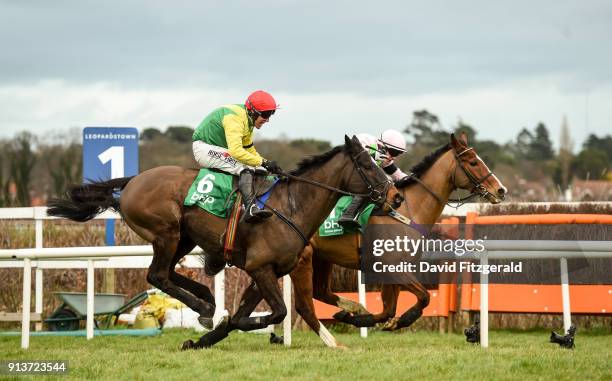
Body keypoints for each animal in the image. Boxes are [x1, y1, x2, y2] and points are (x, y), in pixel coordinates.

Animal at [47, 135, 402, 348]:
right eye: (368, 165)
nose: (396, 197)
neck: (291, 206)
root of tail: (132, 181)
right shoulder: (260, 268)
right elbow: (277, 312)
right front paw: (241, 322)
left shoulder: (266, 272)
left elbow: (259, 312)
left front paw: (203, 338)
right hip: (166, 232)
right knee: (157, 275)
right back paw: (205, 306)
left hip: (184, 239)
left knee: (167, 273)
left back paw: (206, 302)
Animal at [290, 132, 510, 346]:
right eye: (473, 162)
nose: (501, 190)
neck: (409, 209)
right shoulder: (391, 266)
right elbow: (424, 297)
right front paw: (393, 320)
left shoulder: (395, 268)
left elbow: (389, 310)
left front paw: (370, 320)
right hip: (303, 258)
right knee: (305, 303)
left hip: (322, 258)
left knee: (320, 291)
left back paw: (351, 310)